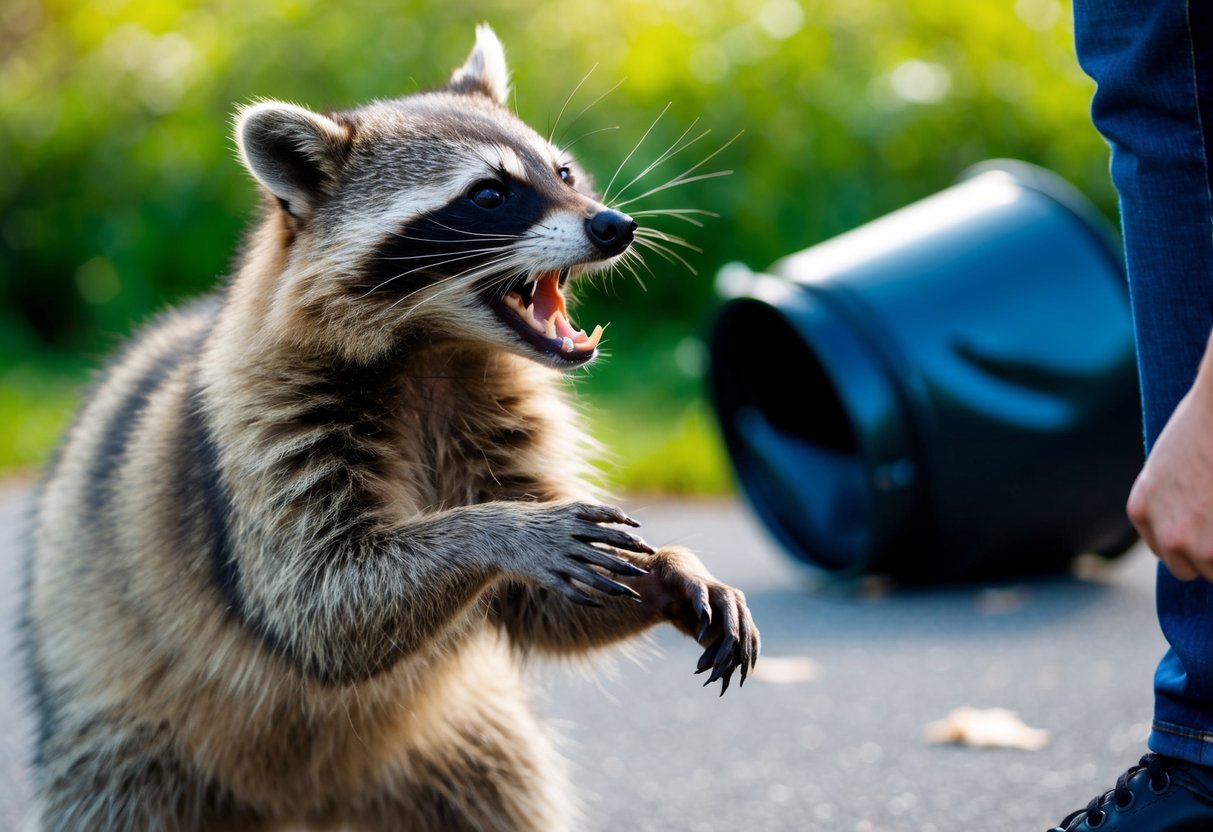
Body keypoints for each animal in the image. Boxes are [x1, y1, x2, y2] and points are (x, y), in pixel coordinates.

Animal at [22, 25, 759, 832]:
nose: (614, 225)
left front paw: (670, 569)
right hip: (128, 748)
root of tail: (307, 808)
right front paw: (499, 530)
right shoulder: (265, 422)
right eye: (490, 194)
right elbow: (316, 602)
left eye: (563, 171)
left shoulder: (496, 409)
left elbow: (544, 607)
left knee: (502, 788)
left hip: (462, 749)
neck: (435, 349)